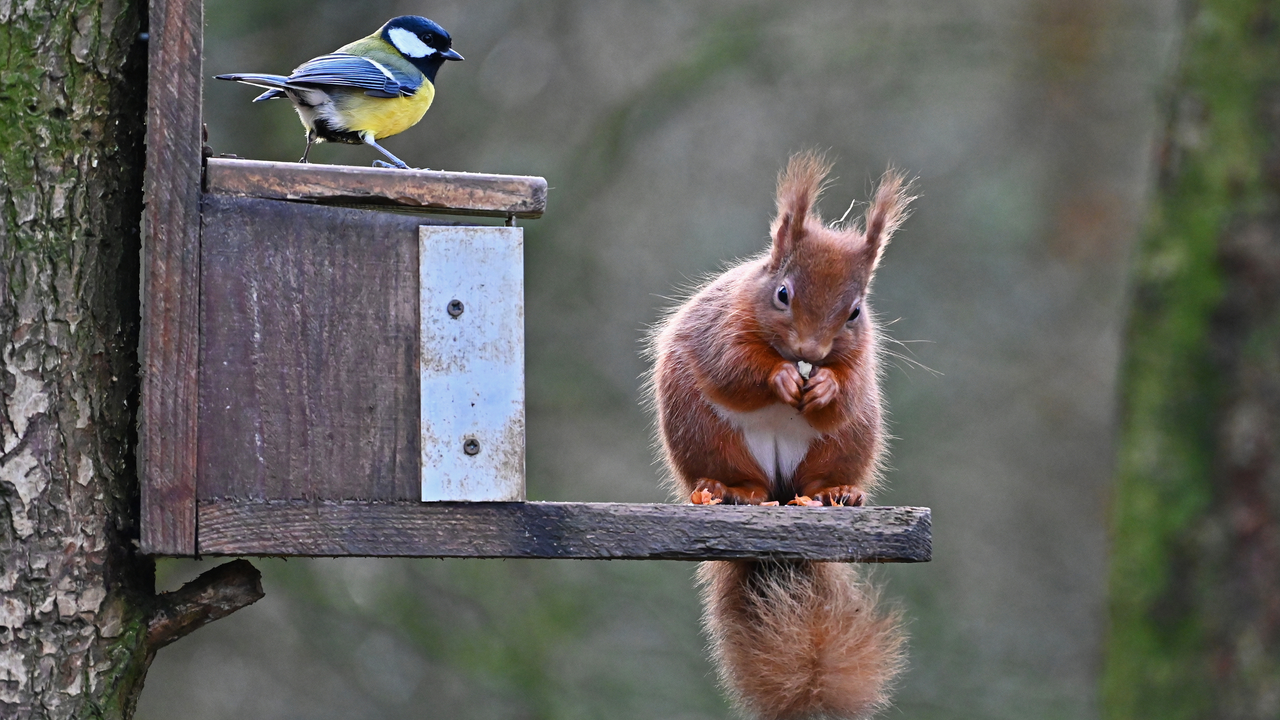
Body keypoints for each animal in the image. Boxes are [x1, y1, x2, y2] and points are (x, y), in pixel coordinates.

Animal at [650, 152, 911, 717]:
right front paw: (781, 377)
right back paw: (729, 489)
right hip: (706, 432)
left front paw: (825, 386)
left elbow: (846, 391)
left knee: (822, 476)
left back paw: (836, 493)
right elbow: (735, 368)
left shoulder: (860, 361)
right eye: (783, 293)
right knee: (733, 474)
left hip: (847, 441)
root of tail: (778, 486)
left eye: (855, 311)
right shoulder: (723, 329)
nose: (811, 353)